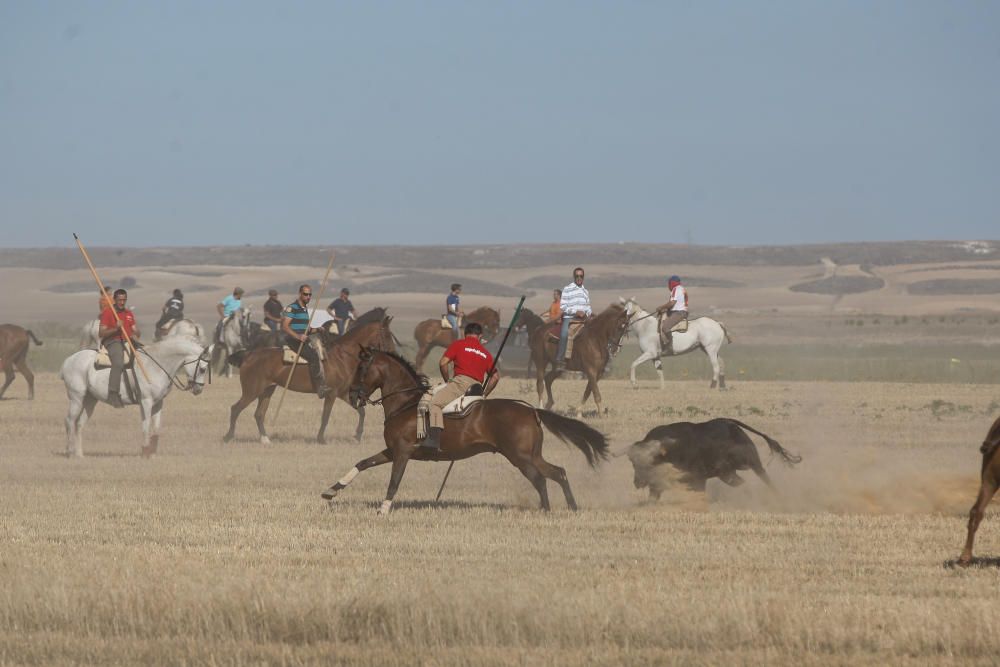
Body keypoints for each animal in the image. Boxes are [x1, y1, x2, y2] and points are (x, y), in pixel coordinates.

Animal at [60, 334, 213, 460]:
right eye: (202, 369)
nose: (198, 389)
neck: (156, 365)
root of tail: (68, 360)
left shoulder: (158, 403)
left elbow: (156, 428)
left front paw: (152, 454)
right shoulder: (146, 402)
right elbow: (146, 426)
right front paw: (145, 452)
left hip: (90, 400)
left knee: (79, 424)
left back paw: (80, 454)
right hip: (76, 399)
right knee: (69, 421)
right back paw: (70, 452)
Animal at [225, 318, 396, 446]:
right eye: (387, 334)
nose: (393, 354)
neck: (342, 357)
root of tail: (249, 355)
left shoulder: (342, 393)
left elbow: (361, 411)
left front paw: (358, 436)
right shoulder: (332, 394)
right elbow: (325, 416)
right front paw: (321, 439)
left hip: (267, 391)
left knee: (259, 414)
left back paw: (265, 440)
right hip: (251, 391)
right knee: (235, 409)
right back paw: (228, 437)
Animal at [324, 348, 608, 516]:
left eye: (362, 369)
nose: (353, 395)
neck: (405, 403)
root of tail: (531, 411)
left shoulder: (402, 452)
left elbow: (394, 481)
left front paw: (384, 509)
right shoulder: (392, 450)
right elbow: (363, 463)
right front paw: (332, 490)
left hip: (519, 456)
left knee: (540, 478)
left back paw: (547, 509)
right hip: (531, 455)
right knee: (557, 472)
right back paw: (570, 507)